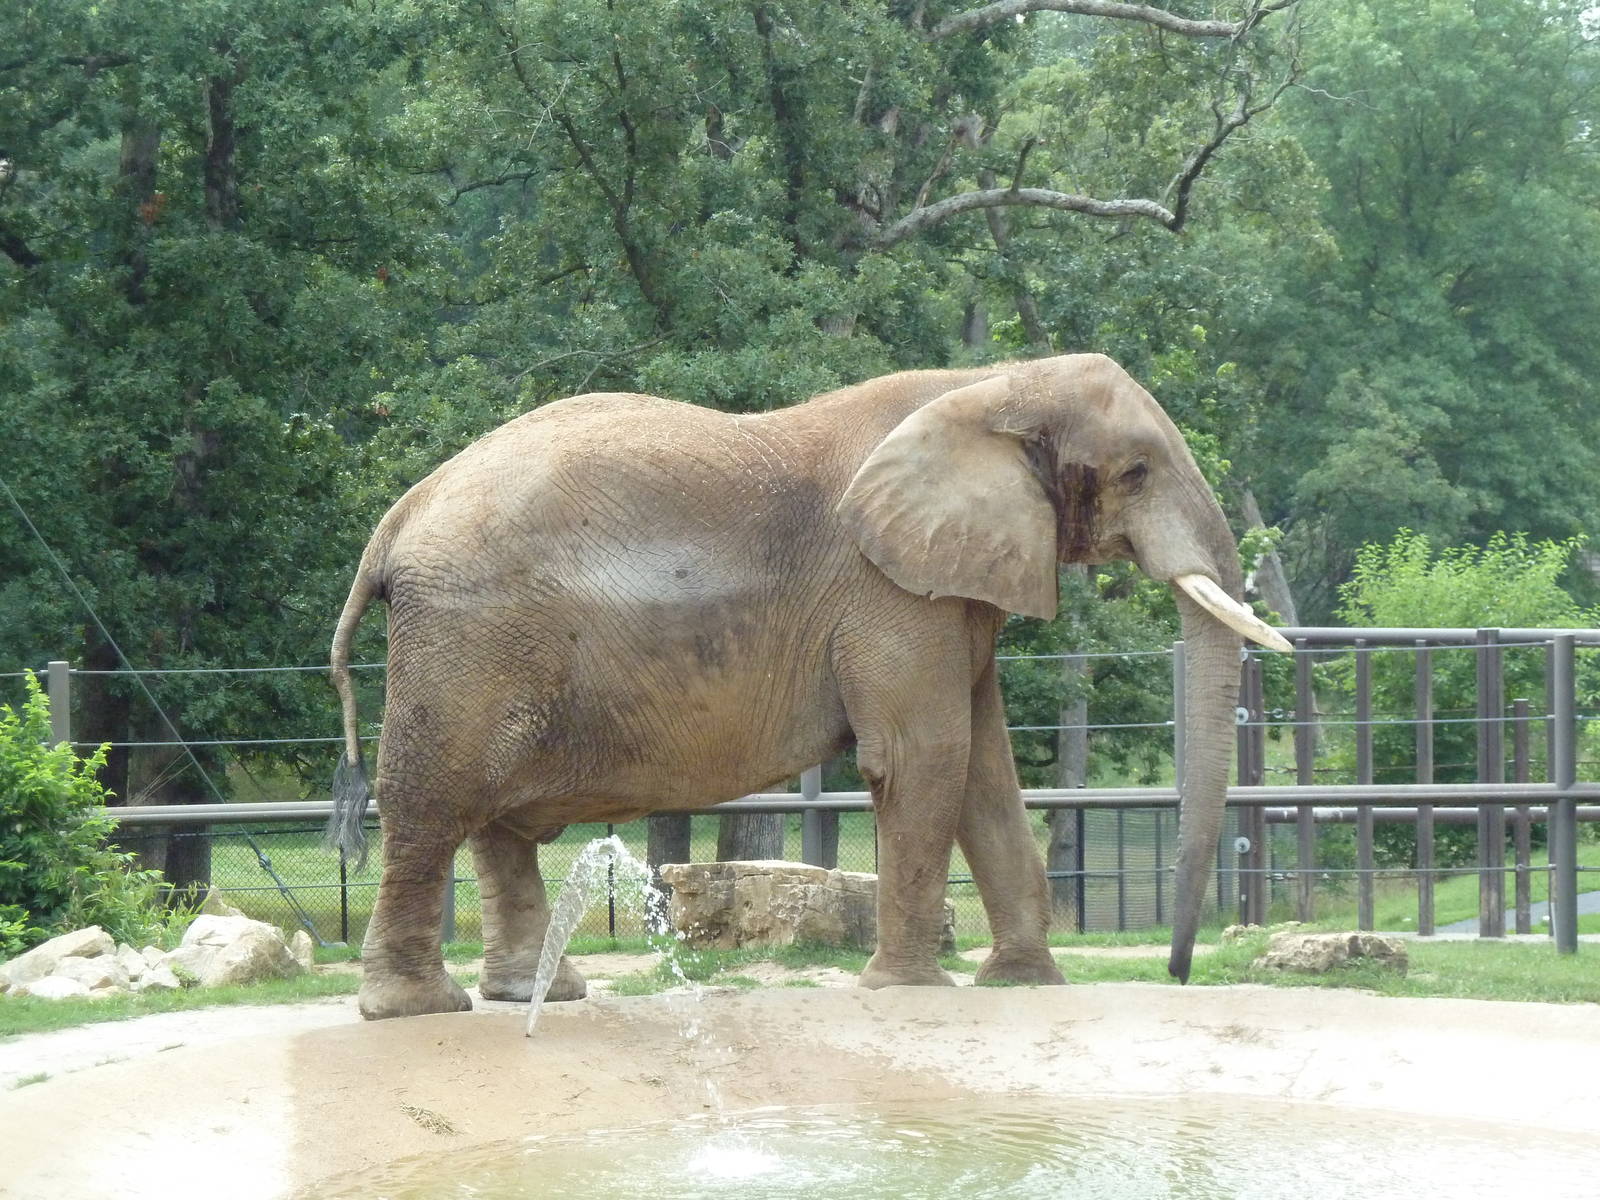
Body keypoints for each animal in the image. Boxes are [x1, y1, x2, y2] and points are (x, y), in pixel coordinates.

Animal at [327, 353, 1289, 1020]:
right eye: (1136, 473)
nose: (1179, 971)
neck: (990, 386)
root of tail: (395, 520)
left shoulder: (949, 588)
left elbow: (984, 768)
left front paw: (1022, 985)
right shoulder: (887, 590)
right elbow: (924, 755)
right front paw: (907, 989)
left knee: (498, 825)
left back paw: (540, 996)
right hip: (470, 643)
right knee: (436, 806)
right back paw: (417, 1009)